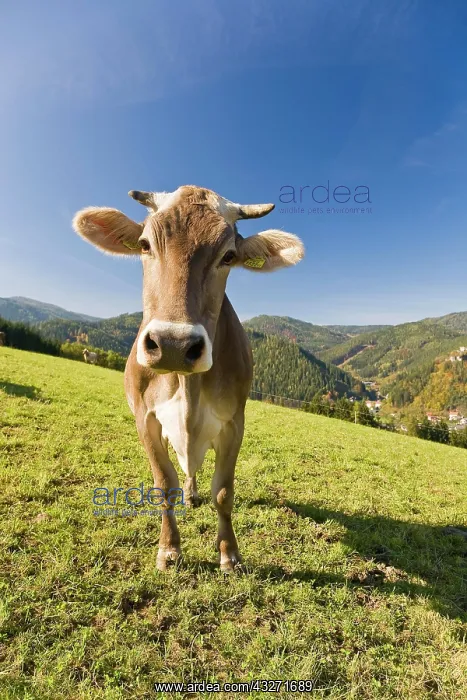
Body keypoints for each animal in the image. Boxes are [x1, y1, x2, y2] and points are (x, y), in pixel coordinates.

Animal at [73, 185, 304, 571]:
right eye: (145, 244)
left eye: (228, 256)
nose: (174, 345)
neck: (188, 387)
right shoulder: (145, 418)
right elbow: (163, 484)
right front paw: (169, 550)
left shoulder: (234, 422)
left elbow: (223, 492)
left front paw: (229, 554)